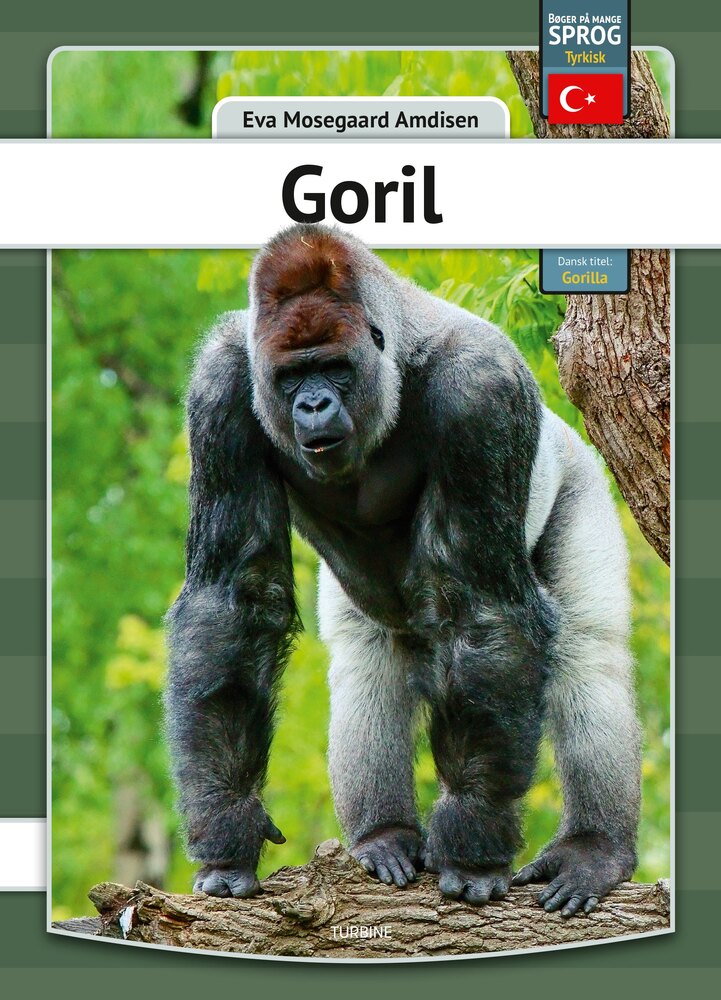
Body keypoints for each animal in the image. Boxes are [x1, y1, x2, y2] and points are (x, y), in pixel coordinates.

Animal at [165, 224, 641, 917]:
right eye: (291, 376)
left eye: (334, 368)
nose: (312, 405)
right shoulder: (221, 385)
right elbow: (232, 601)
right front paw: (228, 829)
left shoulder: (482, 390)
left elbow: (481, 610)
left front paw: (472, 845)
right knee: (367, 661)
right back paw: (382, 835)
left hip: (578, 472)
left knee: (588, 652)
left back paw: (593, 848)